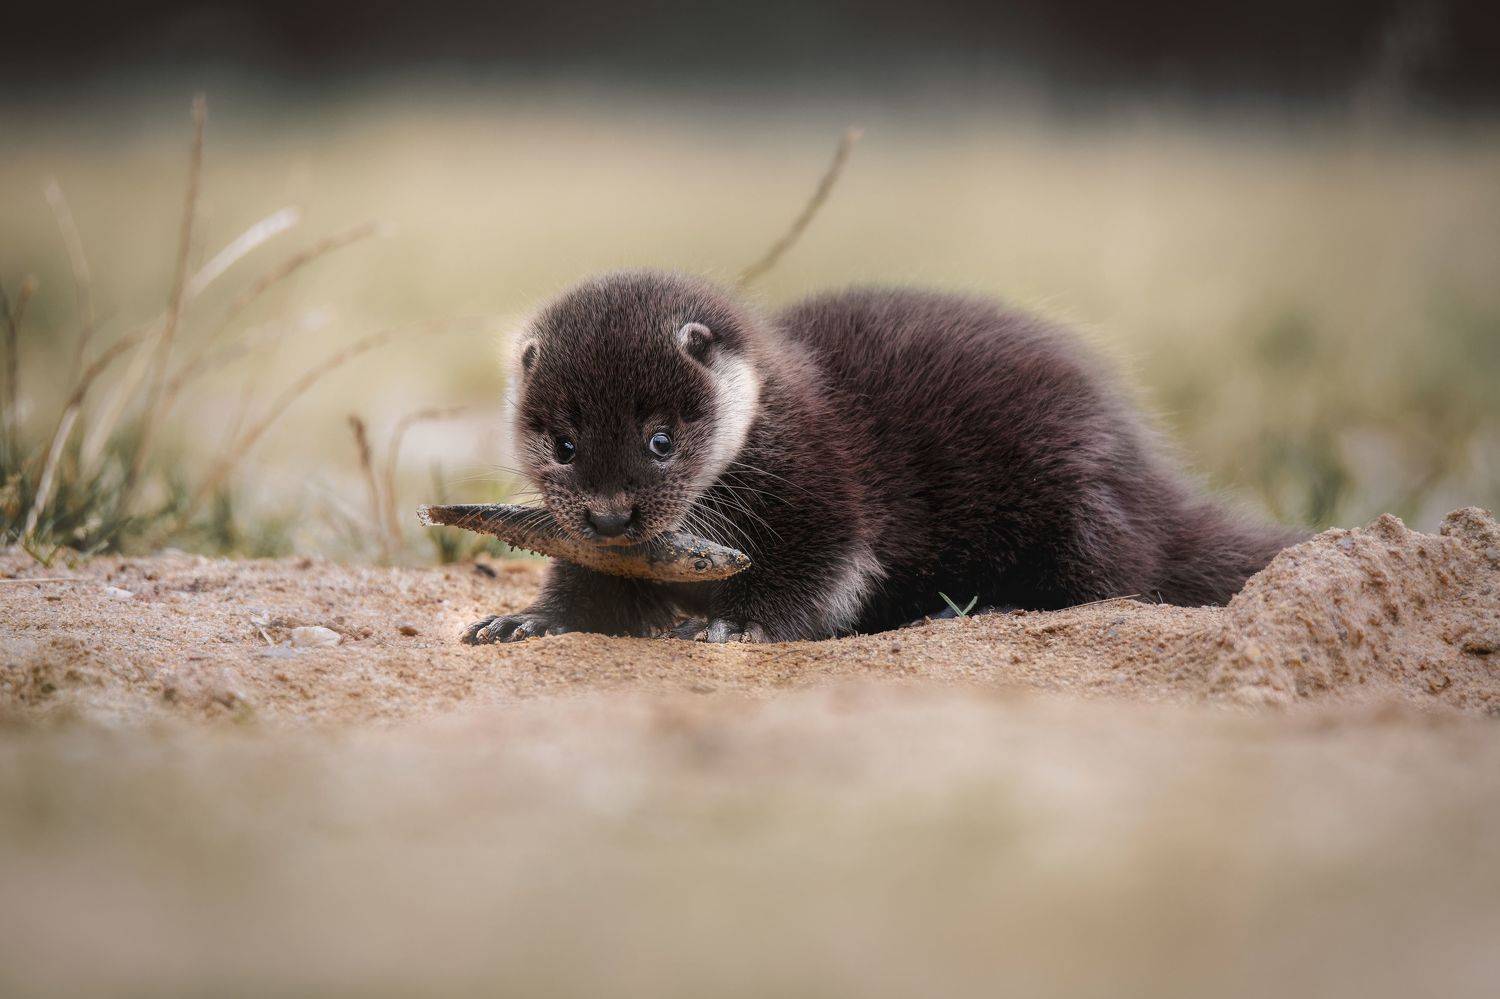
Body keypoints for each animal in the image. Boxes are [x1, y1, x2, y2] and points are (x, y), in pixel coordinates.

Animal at [462, 270, 1303, 644]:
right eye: (564, 445)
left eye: (660, 440)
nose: (610, 517)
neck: (777, 415)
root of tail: (1150, 479)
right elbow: (592, 591)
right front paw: (527, 619)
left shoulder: (823, 488)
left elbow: (821, 573)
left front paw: (733, 622)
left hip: (1074, 494)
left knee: (1112, 576)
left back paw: (987, 607)